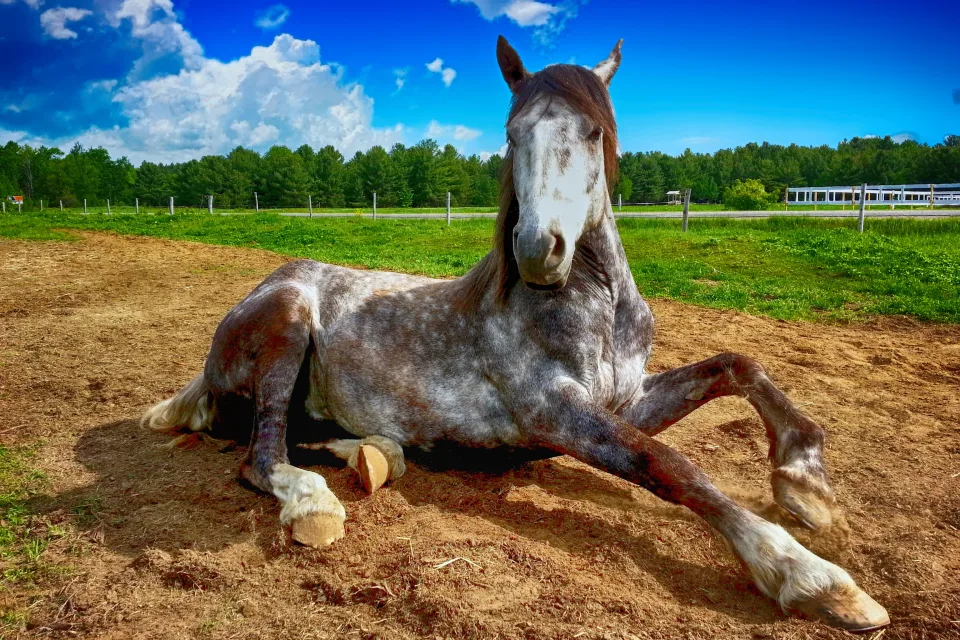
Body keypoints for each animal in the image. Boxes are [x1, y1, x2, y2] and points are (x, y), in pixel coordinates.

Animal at [142, 37, 889, 633]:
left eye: (593, 132)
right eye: (511, 133)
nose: (538, 250)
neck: (594, 309)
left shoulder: (626, 398)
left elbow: (739, 365)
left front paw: (806, 486)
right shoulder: (554, 413)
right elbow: (669, 465)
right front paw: (812, 577)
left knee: (306, 434)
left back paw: (377, 454)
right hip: (290, 322)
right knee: (261, 453)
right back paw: (313, 503)